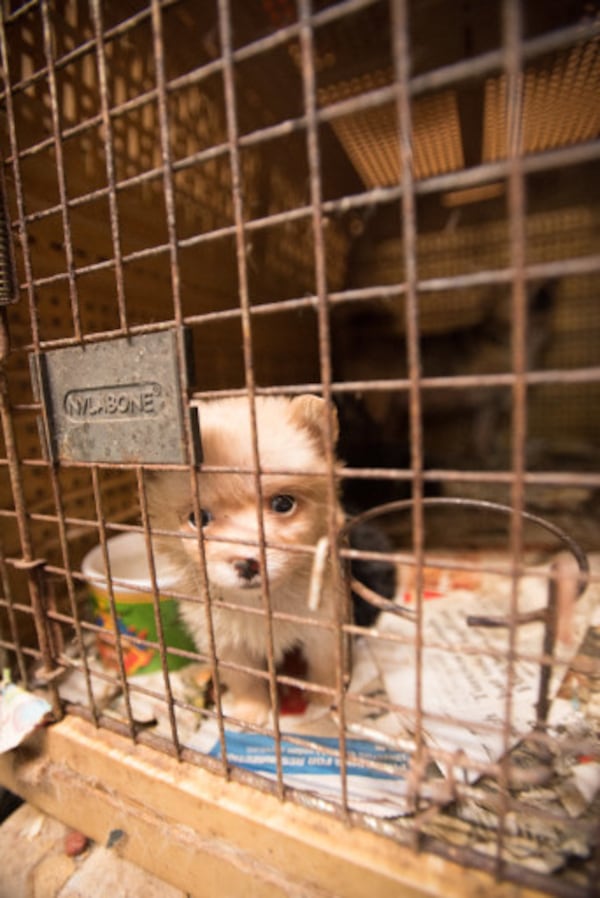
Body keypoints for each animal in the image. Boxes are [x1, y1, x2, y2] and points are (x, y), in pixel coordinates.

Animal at [148, 396, 344, 724]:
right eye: (198, 518)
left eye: (283, 503)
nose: (246, 563)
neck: (261, 604)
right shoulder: (225, 642)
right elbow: (246, 680)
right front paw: (252, 713)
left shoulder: (323, 626)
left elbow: (324, 669)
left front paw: (326, 702)